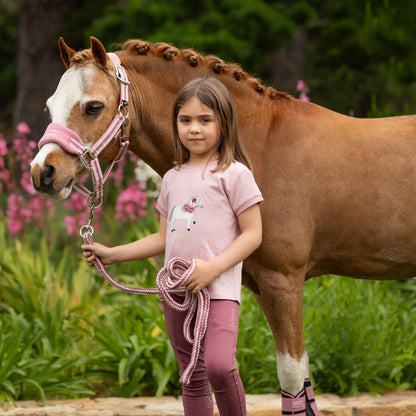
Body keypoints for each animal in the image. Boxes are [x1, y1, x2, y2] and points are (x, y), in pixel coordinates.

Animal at [30, 37, 416, 414]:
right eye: (48, 108)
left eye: (93, 107)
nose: (42, 173)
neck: (261, 144)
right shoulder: (262, 286)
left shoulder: (284, 282)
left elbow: (292, 376)